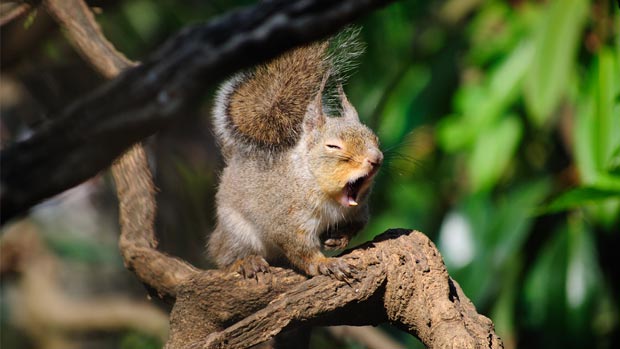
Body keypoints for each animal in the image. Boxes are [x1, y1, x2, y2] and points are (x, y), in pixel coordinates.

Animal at [208, 30, 382, 280]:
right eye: (333, 146)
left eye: (375, 138)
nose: (376, 159)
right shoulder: (287, 220)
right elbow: (301, 250)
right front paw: (325, 264)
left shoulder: (359, 211)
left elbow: (357, 226)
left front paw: (339, 238)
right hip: (236, 233)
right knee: (224, 257)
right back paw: (246, 262)